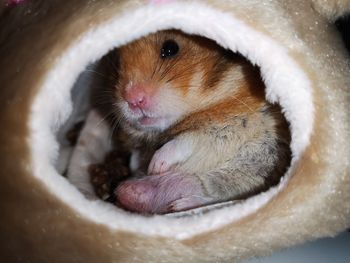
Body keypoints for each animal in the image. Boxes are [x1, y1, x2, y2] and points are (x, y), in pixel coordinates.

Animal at [94, 29, 292, 214]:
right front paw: (139, 165)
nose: (133, 100)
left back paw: (177, 203)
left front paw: (155, 166)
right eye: (116, 63)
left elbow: (185, 141)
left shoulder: (231, 126)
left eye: (170, 48)